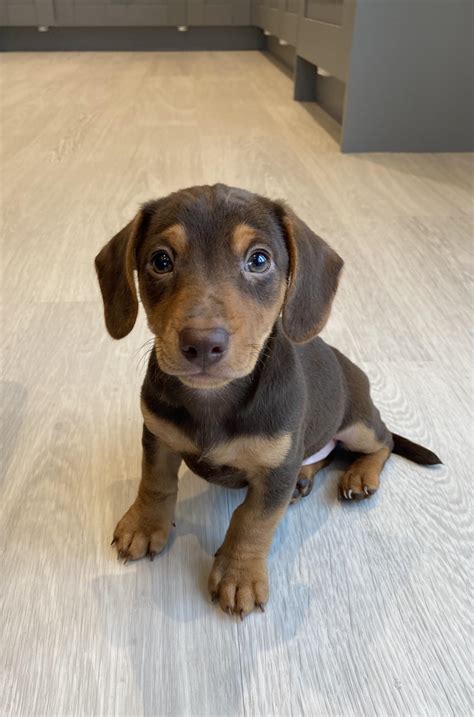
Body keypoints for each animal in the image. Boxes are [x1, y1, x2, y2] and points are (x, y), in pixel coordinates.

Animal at [94, 183, 442, 616]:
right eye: (161, 260)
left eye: (258, 260)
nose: (202, 343)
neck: (215, 400)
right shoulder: (158, 435)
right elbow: (155, 482)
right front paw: (144, 525)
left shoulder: (277, 466)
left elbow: (253, 521)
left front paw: (239, 575)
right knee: (322, 454)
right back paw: (305, 478)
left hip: (357, 424)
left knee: (385, 442)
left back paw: (360, 474)